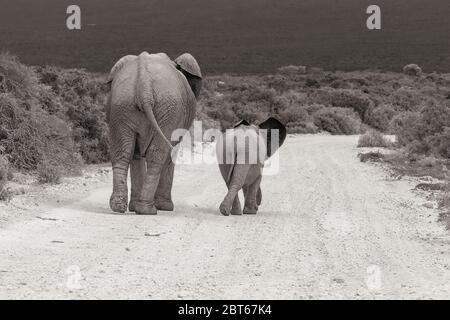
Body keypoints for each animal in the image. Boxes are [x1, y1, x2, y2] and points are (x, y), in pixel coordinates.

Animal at [106, 50, 201, 215]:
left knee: (122, 153)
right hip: (168, 109)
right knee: (156, 156)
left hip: (122, 104)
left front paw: (133, 207)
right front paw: (165, 207)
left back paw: (119, 206)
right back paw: (147, 209)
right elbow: (169, 155)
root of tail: (144, 86)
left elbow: (135, 154)